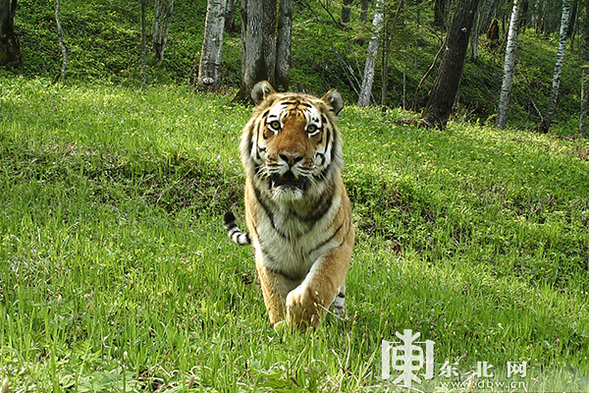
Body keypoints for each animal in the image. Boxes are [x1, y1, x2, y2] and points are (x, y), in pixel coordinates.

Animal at [224, 81, 354, 330]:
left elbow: (319, 285)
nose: (291, 157)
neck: (292, 210)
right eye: (275, 125)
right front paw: (282, 328)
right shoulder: (268, 255)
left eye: (312, 129)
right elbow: (273, 294)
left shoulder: (339, 245)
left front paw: (300, 321)